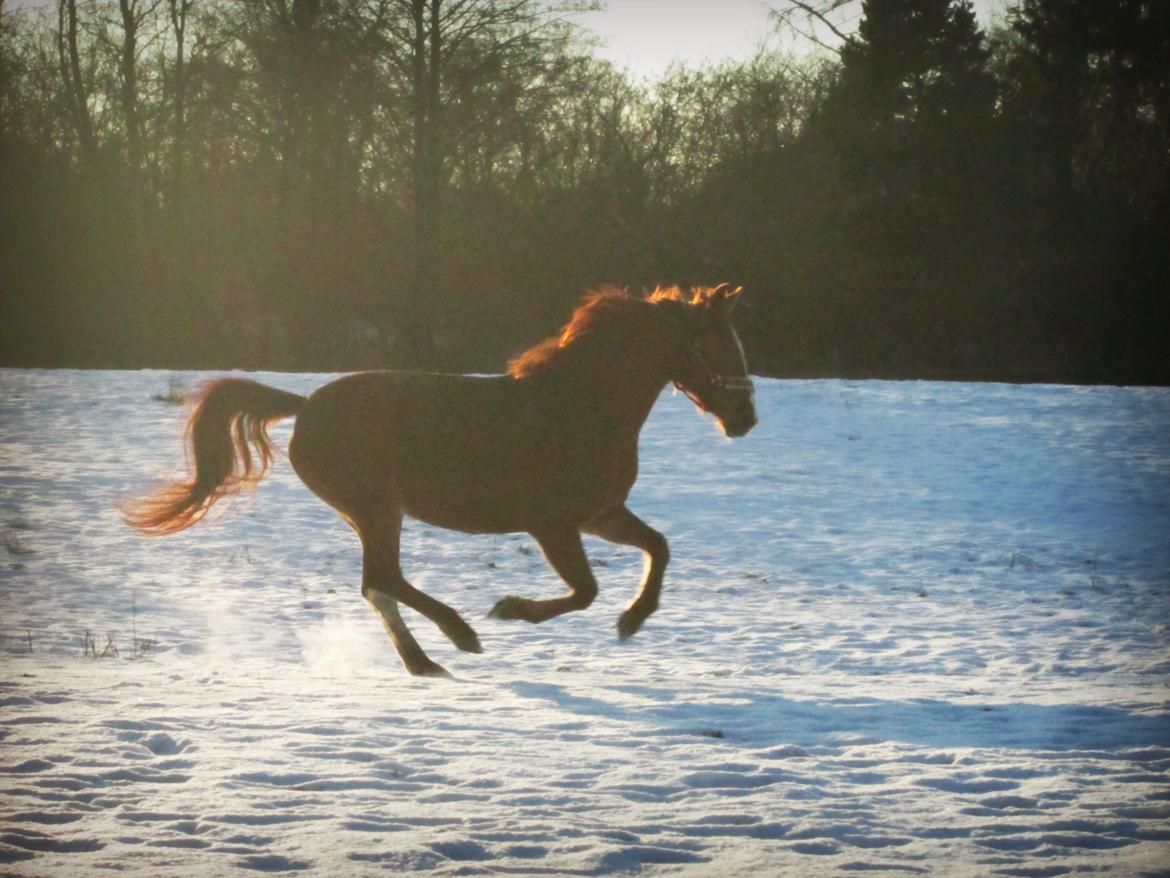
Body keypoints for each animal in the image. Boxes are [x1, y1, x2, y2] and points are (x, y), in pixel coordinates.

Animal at [121, 285, 758, 678]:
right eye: (720, 345)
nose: (746, 419)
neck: (580, 407)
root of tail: (304, 408)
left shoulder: (600, 514)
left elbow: (658, 547)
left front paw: (633, 620)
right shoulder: (554, 525)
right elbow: (585, 592)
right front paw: (509, 610)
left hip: (372, 515)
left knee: (378, 585)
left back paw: (425, 661)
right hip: (377, 509)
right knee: (383, 580)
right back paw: (459, 635)